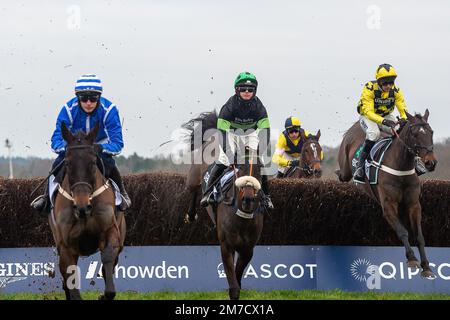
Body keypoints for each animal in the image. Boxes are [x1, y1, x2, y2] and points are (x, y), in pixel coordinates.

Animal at [49, 122, 126, 300]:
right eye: (68, 163)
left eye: (92, 162)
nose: (82, 207)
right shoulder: (66, 246)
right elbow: (70, 277)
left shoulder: (110, 231)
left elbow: (107, 260)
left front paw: (104, 295)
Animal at [338, 110, 436, 278]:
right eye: (415, 134)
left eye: (431, 132)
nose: (431, 163)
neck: (401, 166)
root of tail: (355, 126)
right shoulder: (389, 205)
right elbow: (403, 231)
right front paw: (412, 259)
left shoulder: (414, 205)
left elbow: (419, 236)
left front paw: (426, 267)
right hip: (345, 168)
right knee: (342, 175)